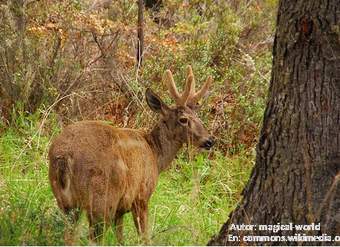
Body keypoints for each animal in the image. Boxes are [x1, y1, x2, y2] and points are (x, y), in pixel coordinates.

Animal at [47, 64, 214, 244]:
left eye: (198, 116)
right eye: (183, 119)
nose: (209, 141)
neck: (155, 154)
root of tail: (64, 156)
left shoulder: (120, 210)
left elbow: (120, 239)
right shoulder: (141, 196)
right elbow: (144, 237)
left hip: (65, 201)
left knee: (69, 235)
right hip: (101, 199)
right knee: (94, 238)